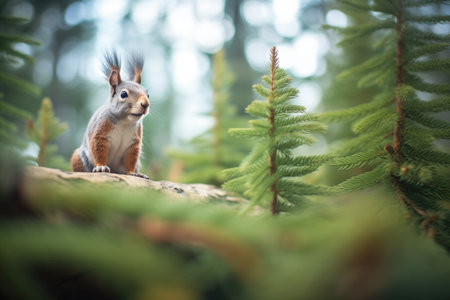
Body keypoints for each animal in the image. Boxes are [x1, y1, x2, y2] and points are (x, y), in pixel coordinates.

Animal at [71, 50, 150, 179]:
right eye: (123, 94)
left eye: (148, 95)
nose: (146, 104)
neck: (124, 121)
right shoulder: (101, 128)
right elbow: (98, 148)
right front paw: (101, 167)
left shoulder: (134, 142)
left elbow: (131, 158)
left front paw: (132, 173)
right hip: (78, 157)